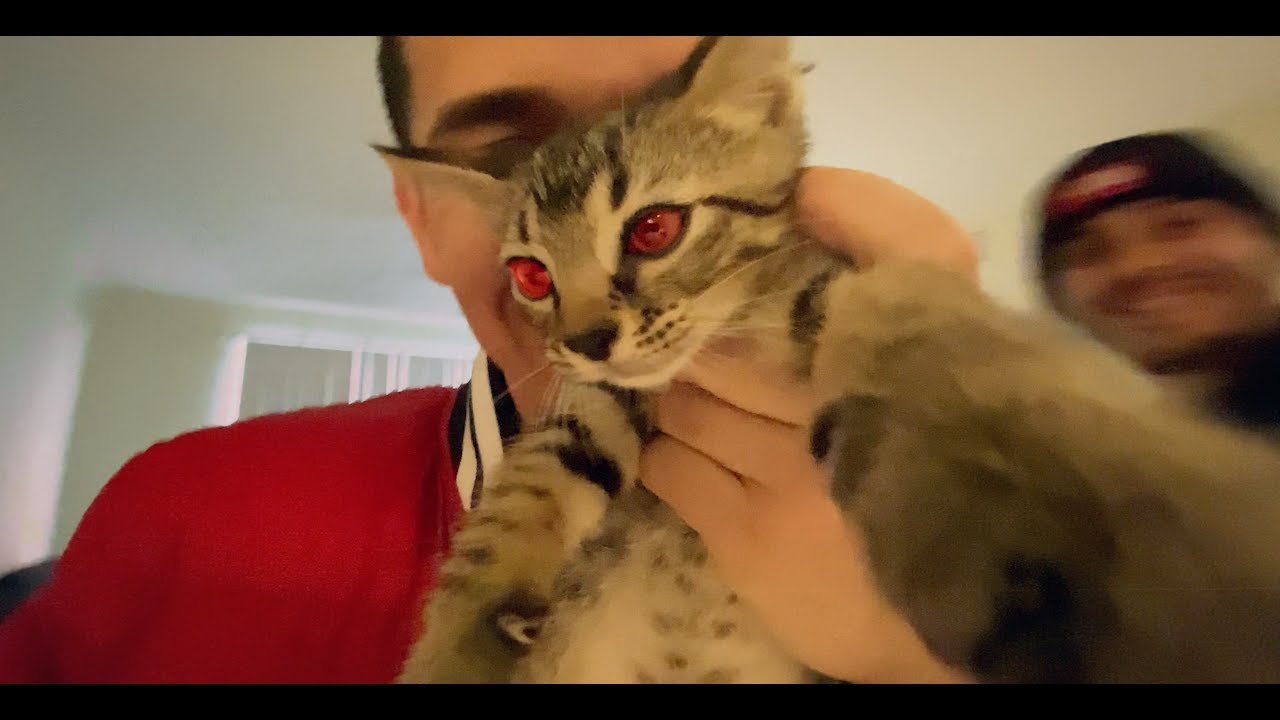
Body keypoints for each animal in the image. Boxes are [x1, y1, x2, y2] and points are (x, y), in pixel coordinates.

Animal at [380, 36, 1280, 684]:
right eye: (532, 275)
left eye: (654, 229)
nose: (587, 339)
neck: (717, 336)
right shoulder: (597, 404)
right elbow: (511, 512)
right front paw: (455, 649)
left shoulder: (832, 289)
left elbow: (916, 329)